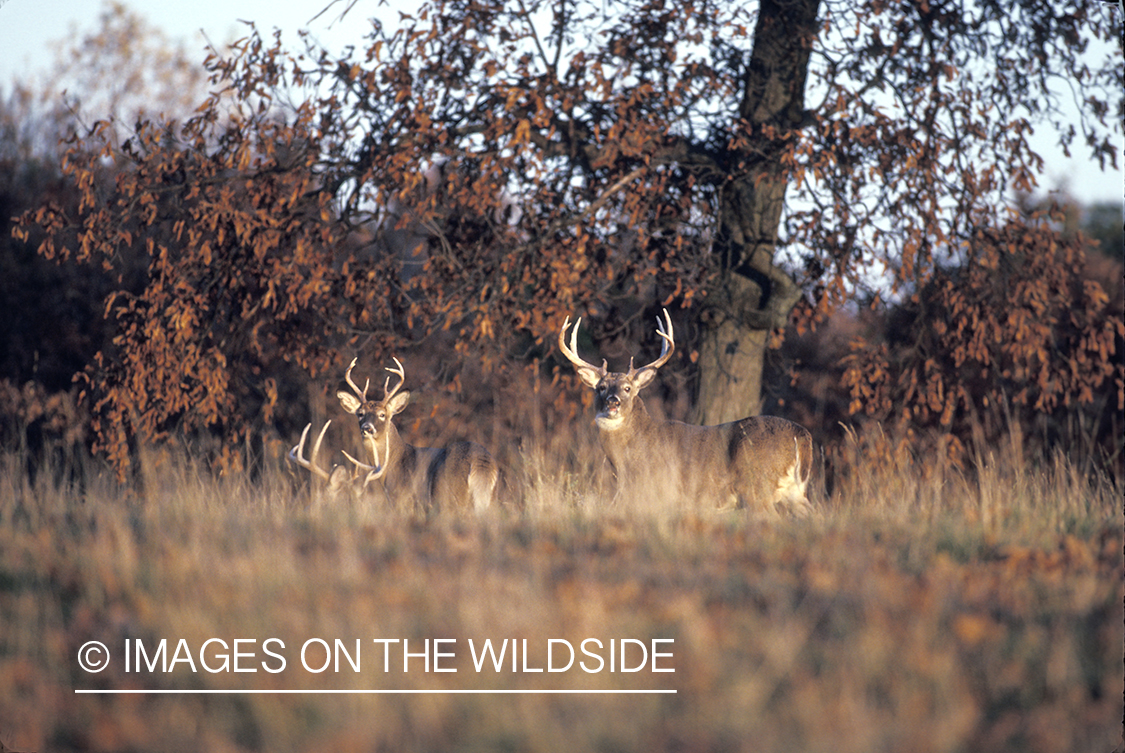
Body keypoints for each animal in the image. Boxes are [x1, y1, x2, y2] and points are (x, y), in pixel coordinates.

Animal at [560, 308, 810, 513]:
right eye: (601, 387)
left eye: (627, 388)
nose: (613, 402)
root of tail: (802, 436)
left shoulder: (656, 490)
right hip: (795, 493)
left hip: (756, 486)